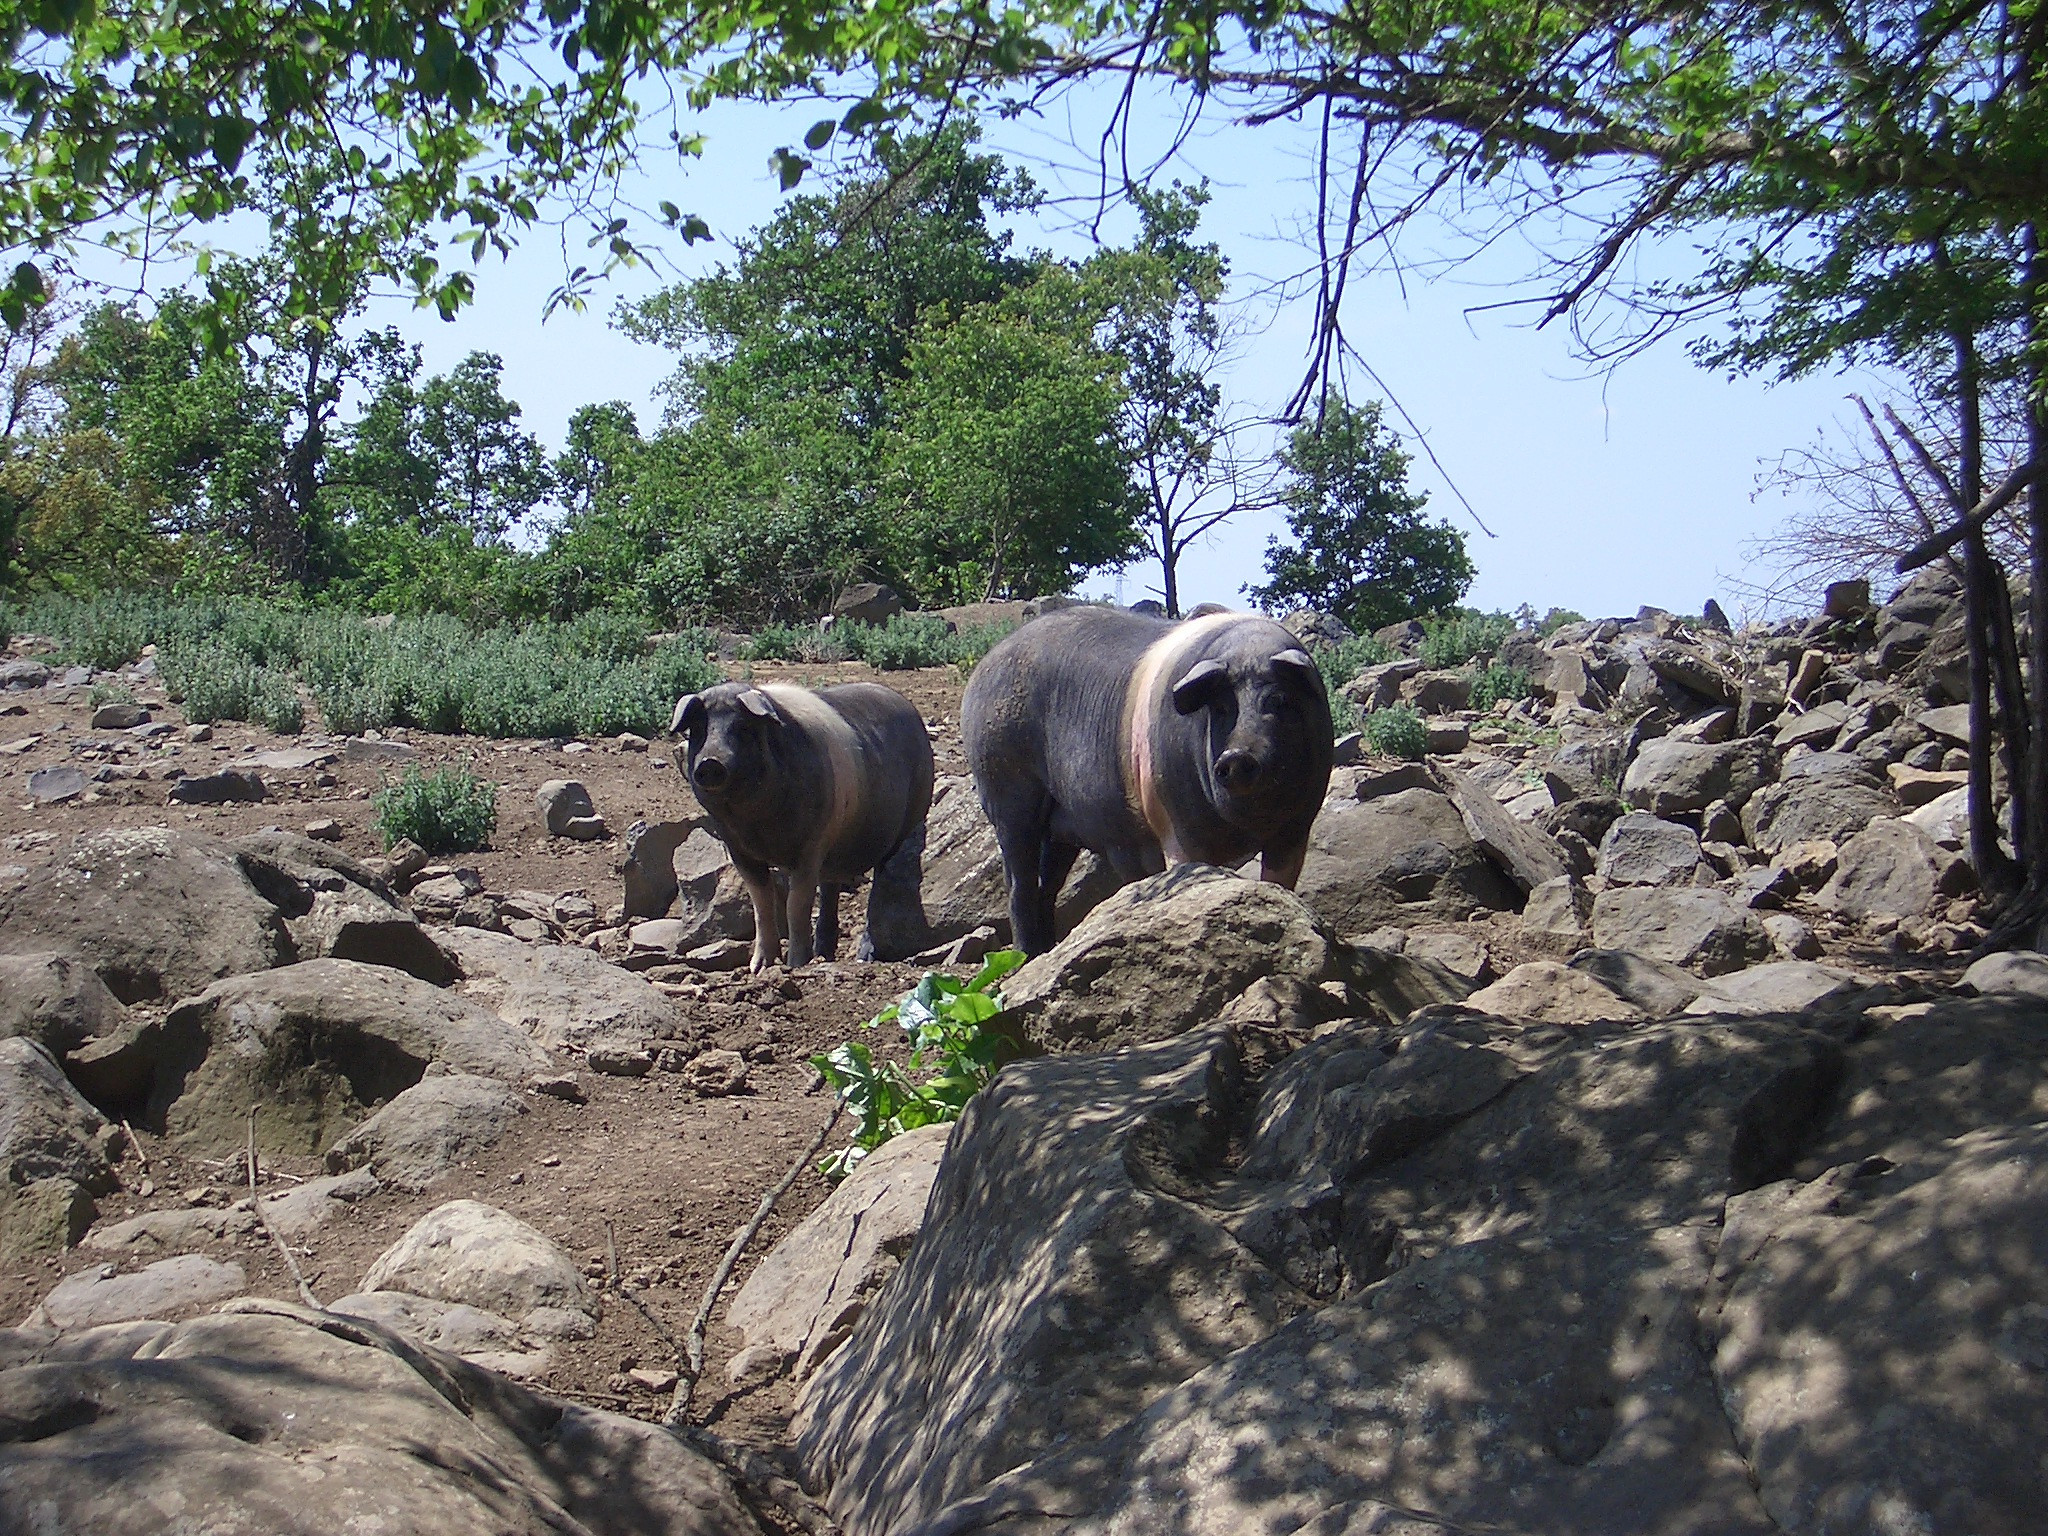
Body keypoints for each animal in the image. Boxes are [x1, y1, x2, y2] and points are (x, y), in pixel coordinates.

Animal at [669, 681, 934, 970]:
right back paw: (823, 954)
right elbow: (761, 904)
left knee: (878, 891)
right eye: (698, 728)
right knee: (830, 889)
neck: (757, 825)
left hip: (908, 821)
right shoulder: (738, 849)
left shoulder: (811, 846)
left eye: (743, 727)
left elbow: (795, 905)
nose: (709, 762)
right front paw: (759, 967)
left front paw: (794, 965)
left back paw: (863, 956)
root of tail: (907, 706)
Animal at [962, 607, 1333, 955]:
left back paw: (1046, 949)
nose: (1235, 756)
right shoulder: (1177, 825)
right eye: (1221, 706)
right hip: (1005, 789)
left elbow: (1281, 880)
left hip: (1060, 827)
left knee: (1047, 884)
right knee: (1019, 881)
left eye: (1279, 700)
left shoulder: (1296, 829)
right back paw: (1025, 955)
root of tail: (983, 668)